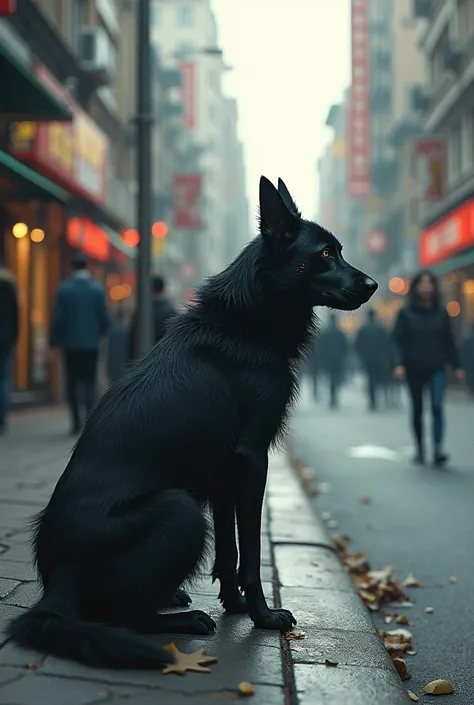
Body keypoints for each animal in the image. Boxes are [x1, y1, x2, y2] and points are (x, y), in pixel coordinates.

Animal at [5, 175, 378, 664]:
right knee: (122, 615)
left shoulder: (222, 470)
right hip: (180, 508)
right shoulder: (252, 458)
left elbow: (228, 552)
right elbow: (249, 551)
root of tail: (59, 578)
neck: (247, 320)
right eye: (325, 254)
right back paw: (182, 619)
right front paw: (262, 616)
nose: (375, 284)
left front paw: (235, 606)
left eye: (338, 251)